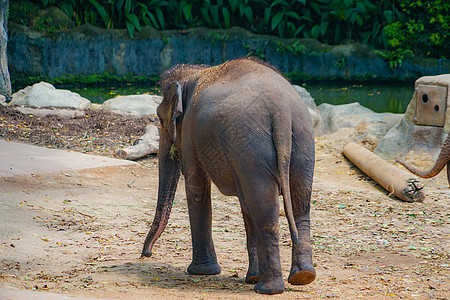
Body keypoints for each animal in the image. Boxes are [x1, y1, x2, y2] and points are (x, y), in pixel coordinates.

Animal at [142, 57, 314, 294]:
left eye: (160, 119)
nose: (146, 254)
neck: (194, 73)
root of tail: (282, 111)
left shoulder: (190, 133)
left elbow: (197, 189)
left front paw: (201, 272)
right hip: (301, 141)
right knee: (298, 203)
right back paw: (301, 276)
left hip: (251, 144)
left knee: (265, 209)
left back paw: (266, 289)